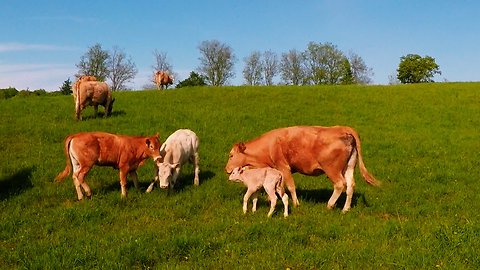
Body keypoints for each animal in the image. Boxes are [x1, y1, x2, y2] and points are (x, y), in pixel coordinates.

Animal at [224, 125, 378, 212]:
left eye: (231, 155)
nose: (226, 169)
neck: (269, 146)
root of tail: (343, 129)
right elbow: (280, 187)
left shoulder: (283, 167)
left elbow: (290, 186)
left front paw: (296, 203)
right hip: (348, 167)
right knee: (351, 185)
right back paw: (345, 209)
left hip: (332, 169)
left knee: (340, 184)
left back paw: (329, 205)